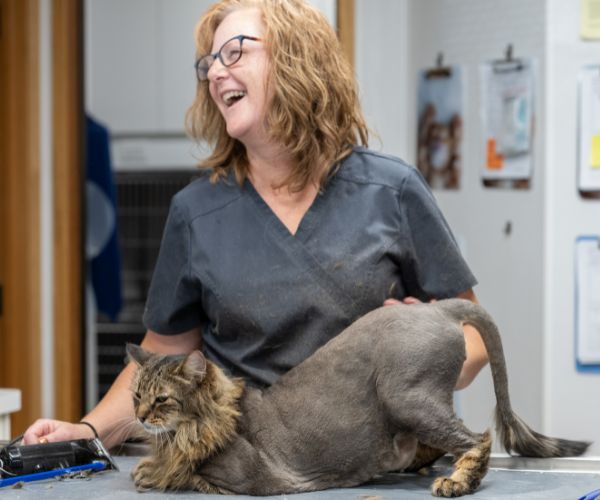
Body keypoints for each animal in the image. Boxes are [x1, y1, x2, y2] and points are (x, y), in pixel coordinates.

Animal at [126, 298, 592, 498]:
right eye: (135, 397)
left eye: (161, 400)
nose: (142, 416)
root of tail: (436, 306)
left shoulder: (252, 477)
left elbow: (186, 474)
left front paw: (152, 472)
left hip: (405, 395)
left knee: (476, 438)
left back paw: (455, 483)